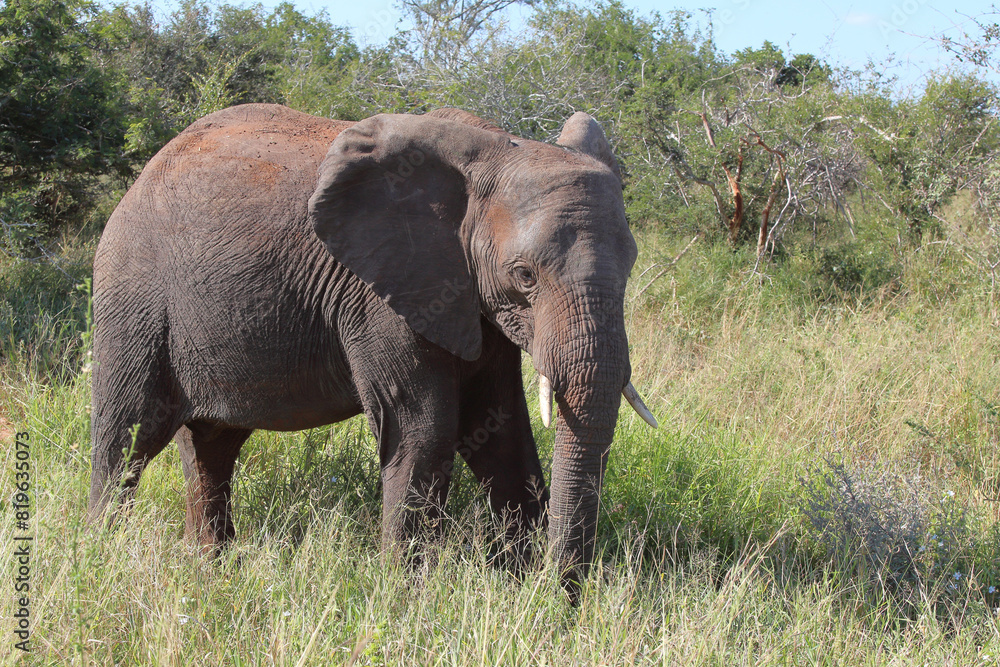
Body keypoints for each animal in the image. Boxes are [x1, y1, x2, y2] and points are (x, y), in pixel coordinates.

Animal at [88, 103, 657, 591]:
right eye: (524, 276)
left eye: (631, 264)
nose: (560, 595)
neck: (494, 151)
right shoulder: (382, 292)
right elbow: (425, 428)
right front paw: (405, 597)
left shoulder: (472, 300)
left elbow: (499, 426)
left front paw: (519, 591)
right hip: (133, 296)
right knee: (128, 437)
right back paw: (98, 558)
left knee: (211, 445)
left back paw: (211, 571)